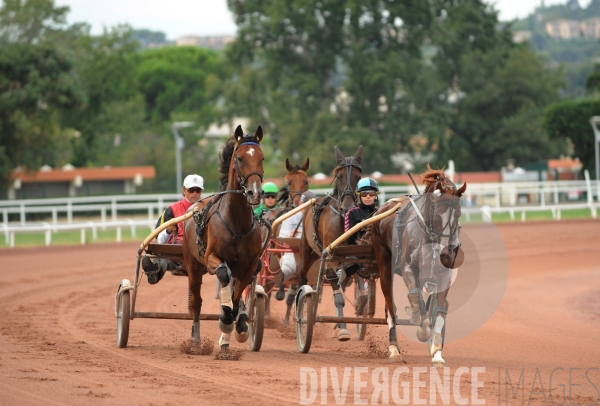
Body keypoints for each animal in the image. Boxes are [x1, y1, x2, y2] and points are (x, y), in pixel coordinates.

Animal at [182, 125, 266, 350]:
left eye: (262, 157)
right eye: (239, 157)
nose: (255, 193)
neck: (236, 222)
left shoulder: (248, 267)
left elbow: (237, 299)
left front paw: (236, 327)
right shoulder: (212, 258)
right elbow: (222, 273)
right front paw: (226, 318)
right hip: (193, 265)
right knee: (196, 302)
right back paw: (195, 339)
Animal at [368, 167, 466, 364]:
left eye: (458, 214)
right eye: (437, 215)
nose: (445, 254)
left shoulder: (444, 275)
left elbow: (439, 311)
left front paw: (437, 351)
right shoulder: (408, 268)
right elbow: (415, 298)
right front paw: (421, 327)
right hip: (384, 265)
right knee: (390, 307)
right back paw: (394, 349)